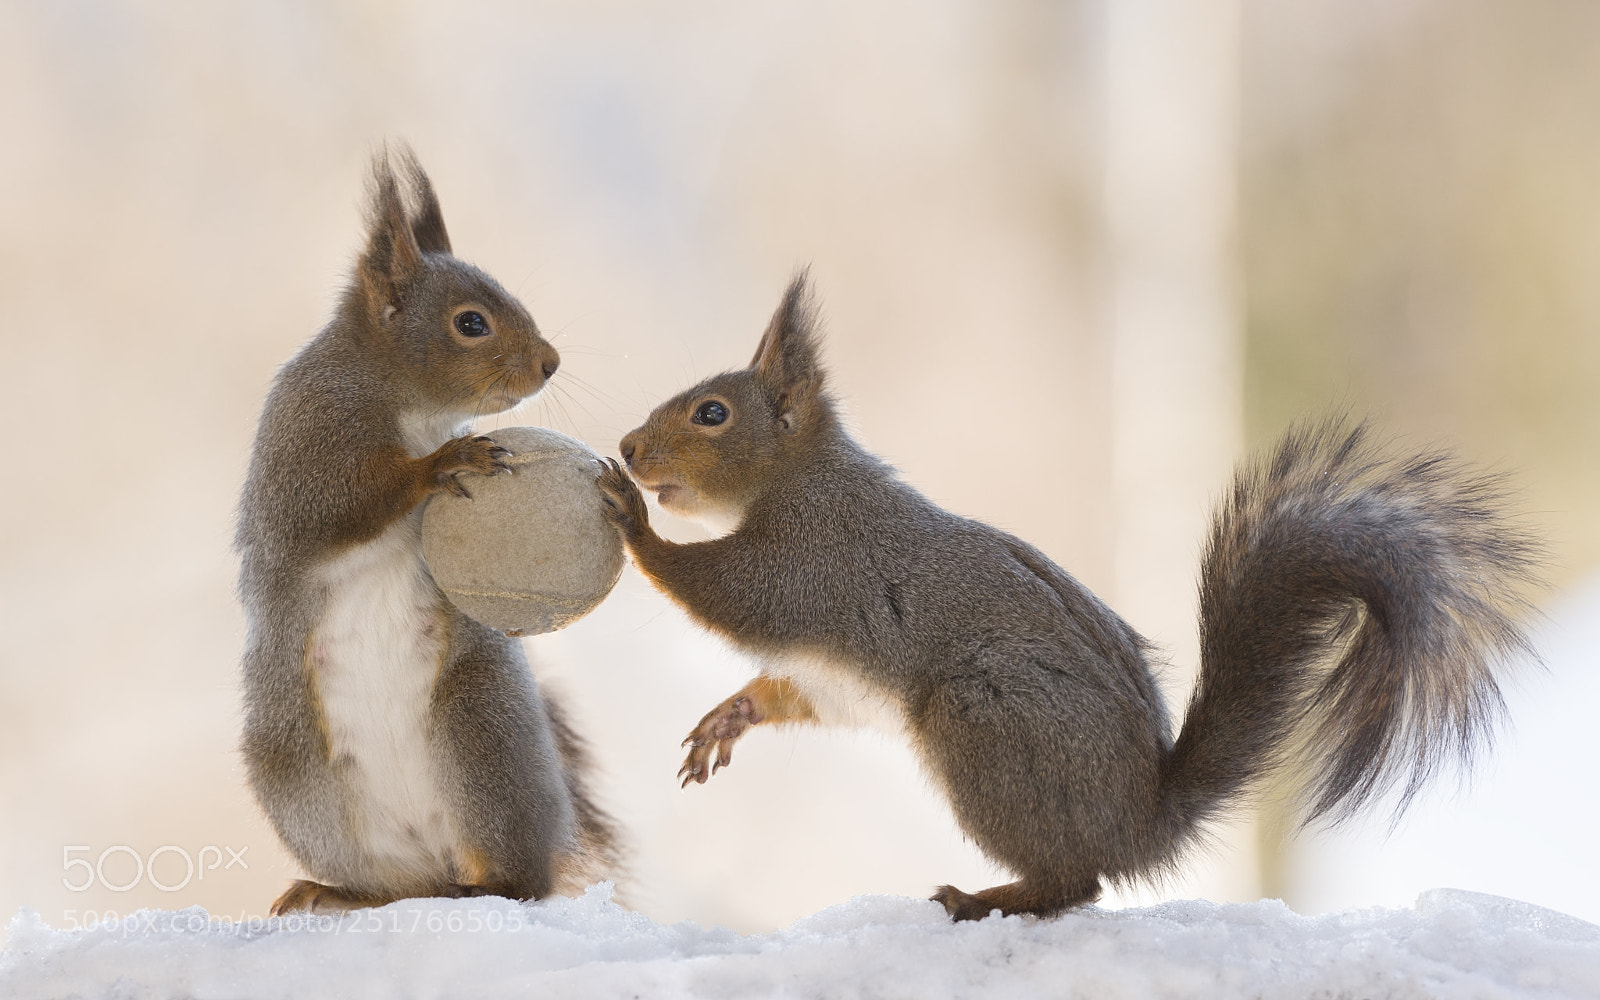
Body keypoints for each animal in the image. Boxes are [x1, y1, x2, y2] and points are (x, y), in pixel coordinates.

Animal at [236, 147, 617, 915]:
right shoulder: (302, 452)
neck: (406, 404)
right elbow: (334, 512)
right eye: (471, 324)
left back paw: (485, 883)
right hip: (301, 779)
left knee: (518, 883)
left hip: (482, 732)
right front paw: (442, 465)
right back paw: (337, 892)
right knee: (396, 888)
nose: (550, 363)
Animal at [595, 273, 1540, 921]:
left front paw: (634, 522)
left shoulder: (813, 559)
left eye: (712, 414)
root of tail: (1138, 823)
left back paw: (985, 899)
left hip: (986, 723)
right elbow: (789, 688)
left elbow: (725, 590)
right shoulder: (830, 669)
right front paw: (729, 719)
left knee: (1076, 883)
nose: (631, 448)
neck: (797, 477)